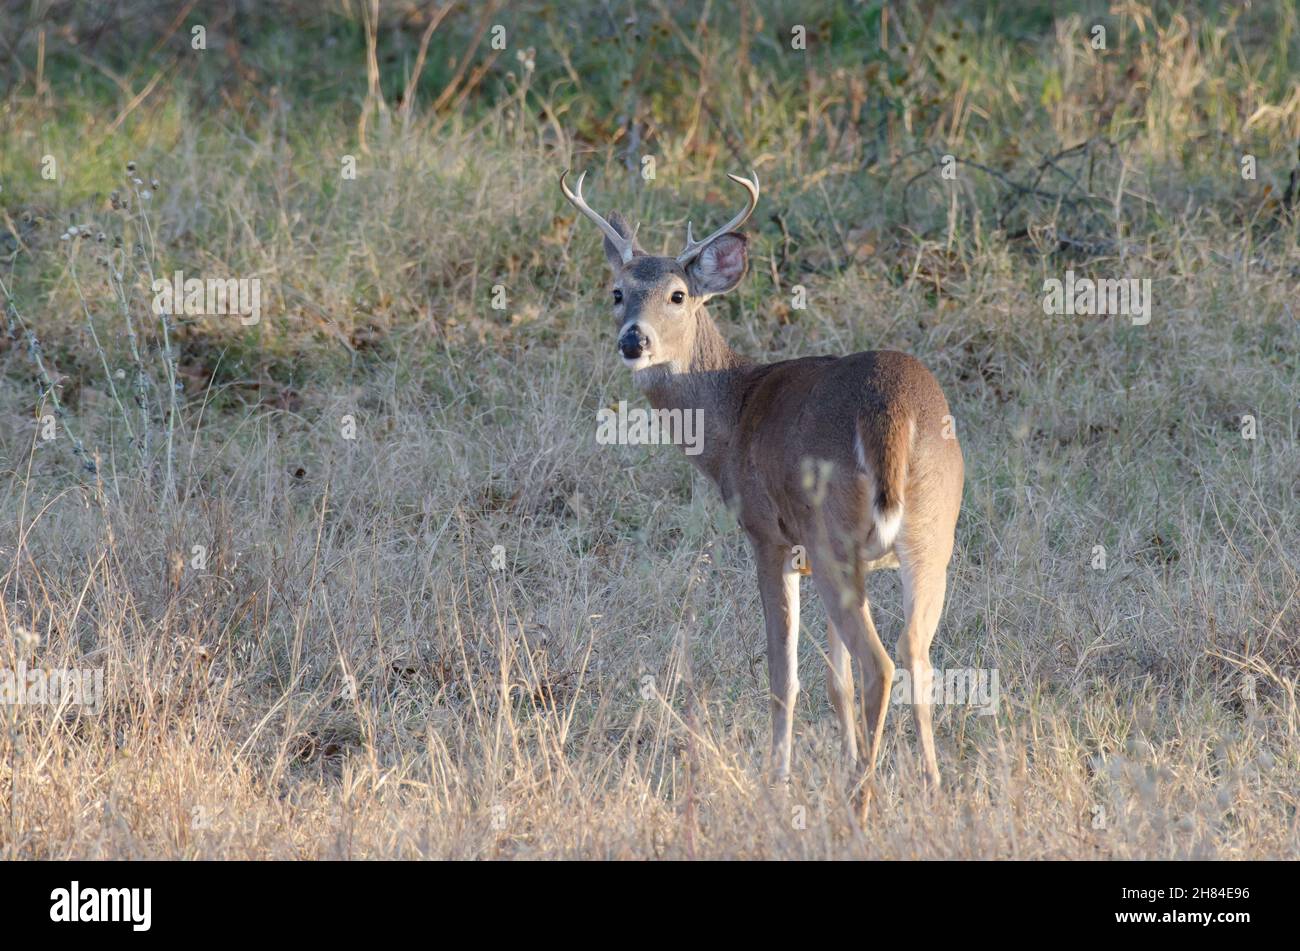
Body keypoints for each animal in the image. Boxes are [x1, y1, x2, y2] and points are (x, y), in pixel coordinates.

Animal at [561, 168, 964, 810]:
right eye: (617, 292)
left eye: (678, 295)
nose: (633, 342)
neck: (735, 410)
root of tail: (893, 413)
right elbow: (834, 678)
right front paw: (840, 758)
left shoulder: (768, 537)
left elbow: (785, 674)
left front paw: (778, 779)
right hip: (931, 534)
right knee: (915, 655)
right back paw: (930, 787)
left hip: (834, 535)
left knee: (880, 663)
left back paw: (861, 799)